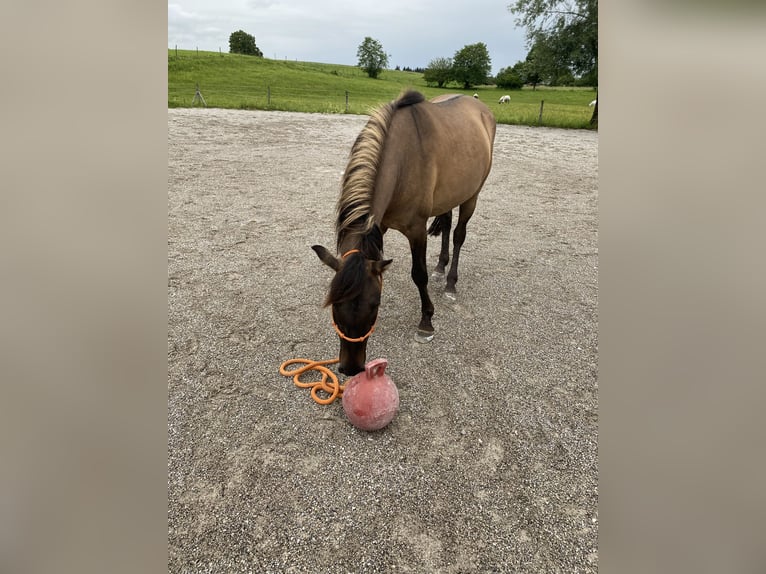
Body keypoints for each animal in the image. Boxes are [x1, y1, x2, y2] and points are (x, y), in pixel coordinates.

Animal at [312, 90, 498, 378]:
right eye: (334, 304)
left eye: (375, 305)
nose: (351, 368)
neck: (402, 160)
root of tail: (479, 105)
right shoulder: (380, 225)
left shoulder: (416, 230)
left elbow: (418, 275)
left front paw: (426, 321)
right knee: (447, 225)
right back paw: (441, 266)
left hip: (471, 196)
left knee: (458, 235)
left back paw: (451, 282)